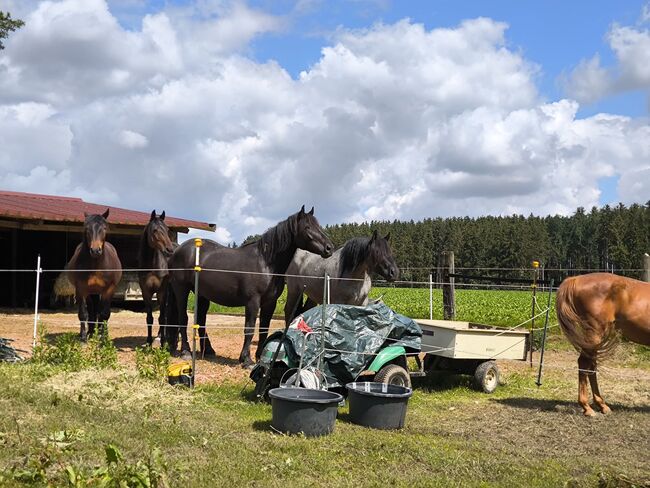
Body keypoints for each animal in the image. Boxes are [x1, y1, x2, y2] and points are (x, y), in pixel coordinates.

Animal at [67, 209, 123, 340]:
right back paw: (91, 332)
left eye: (104, 228)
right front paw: (83, 338)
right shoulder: (81, 289)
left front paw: (103, 338)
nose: (95, 250)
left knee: (100, 312)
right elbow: (83, 313)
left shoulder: (108, 289)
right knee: (92, 310)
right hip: (91, 292)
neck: (96, 264)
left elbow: (105, 314)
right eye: (87, 228)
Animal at [138, 210, 175, 346]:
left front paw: (163, 343)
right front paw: (148, 342)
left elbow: (161, 317)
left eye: (167, 229)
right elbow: (149, 318)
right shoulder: (146, 292)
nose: (169, 250)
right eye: (155, 230)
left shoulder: (161, 292)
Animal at [167, 205, 332, 366]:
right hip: (181, 290)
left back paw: (208, 351)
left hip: (202, 294)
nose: (329, 248)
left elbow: (264, 329)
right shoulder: (252, 301)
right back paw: (186, 352)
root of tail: (178, 250)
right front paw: (246, 359)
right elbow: (250, 328)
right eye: (307, 227)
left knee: (201, 320)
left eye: (318, 225)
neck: (265, 263)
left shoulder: (269, 303)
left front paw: (260, 357)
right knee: (183, 318)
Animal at [552, 272, 648, 418]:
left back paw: (602, 405)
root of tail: (575, 279)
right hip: (594, 334)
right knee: (584, 364)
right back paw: (587, 408)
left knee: (591, 366)